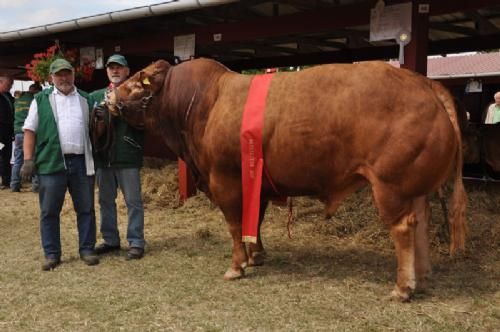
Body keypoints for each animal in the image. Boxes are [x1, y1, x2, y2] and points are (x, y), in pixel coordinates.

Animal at [103, 57, 466, 300]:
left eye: (134, 82)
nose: (108, 98)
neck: (205, 102)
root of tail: (423, 82)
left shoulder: (224, 179)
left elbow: (236, 223)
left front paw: (237, 265)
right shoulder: (257, 183)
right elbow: (255, 221)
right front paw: (257, 255)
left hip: (389, 185)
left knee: (403, 228)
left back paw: (403, 287)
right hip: (412, 186)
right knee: (421, 220)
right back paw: (423, 275)